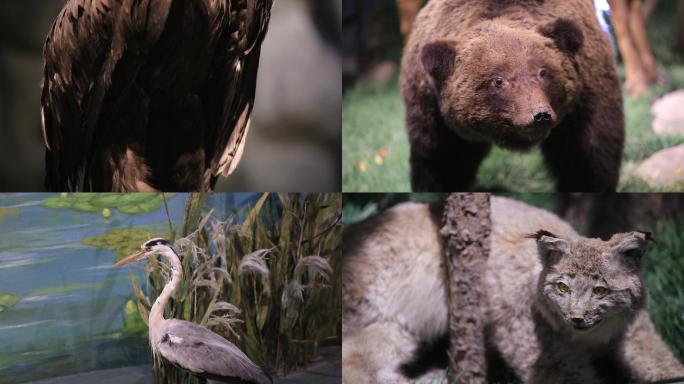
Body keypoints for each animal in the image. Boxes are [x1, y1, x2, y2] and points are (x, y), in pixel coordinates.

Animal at [400, 0, 624, 191]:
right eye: (498, 80)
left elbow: (588, 157)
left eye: (543, 72)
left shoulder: (584, 97)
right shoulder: (435, 114)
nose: (540, 115)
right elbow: (440, 162)